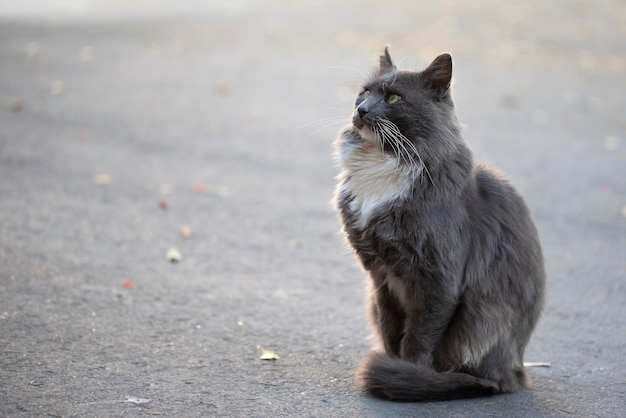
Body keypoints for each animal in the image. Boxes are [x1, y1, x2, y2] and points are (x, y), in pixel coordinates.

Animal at [334, 47, 544, 400]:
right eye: (364, 92)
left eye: (393, 98)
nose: (361, 109)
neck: (386, 162)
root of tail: (514, 371)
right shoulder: (381, 279)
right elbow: (392, 332)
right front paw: (393, 366)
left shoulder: (438, 280)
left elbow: (417, 339)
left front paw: (406, 374)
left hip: (481, 312)